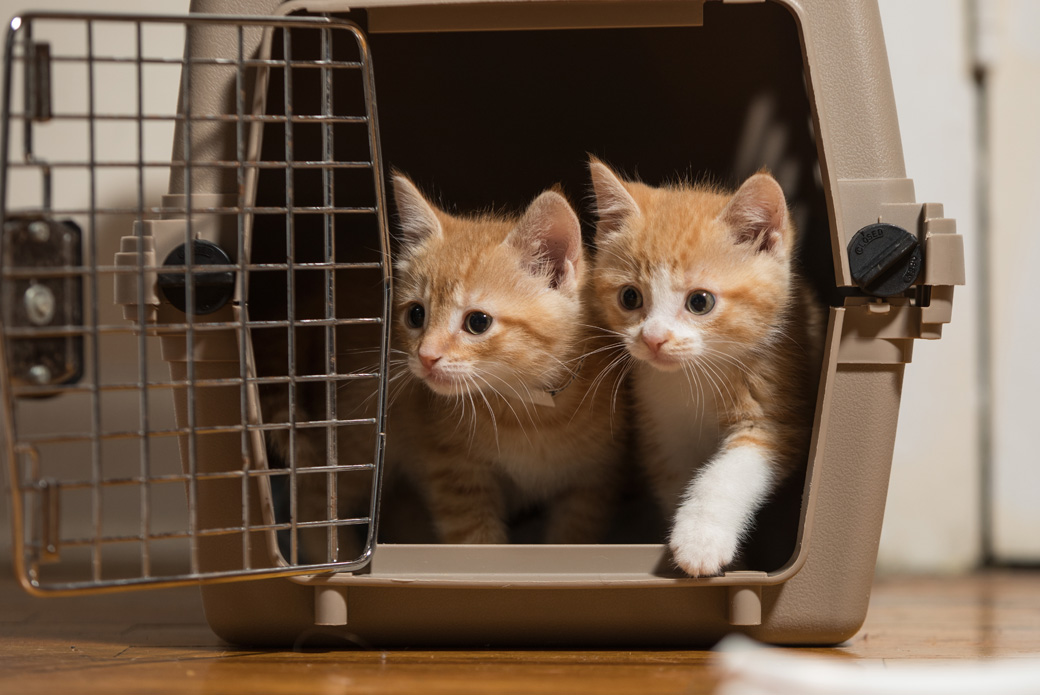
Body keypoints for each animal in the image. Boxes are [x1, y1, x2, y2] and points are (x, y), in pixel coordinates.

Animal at [386, 173, 619, 541]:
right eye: (416, 315)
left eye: (478, 322)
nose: (425, 356)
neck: (528, 411)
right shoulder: (453, 473)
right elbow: (477, 541)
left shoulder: (593, 482)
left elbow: (571, 537)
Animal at [586, 159, 819, 574]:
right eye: (630, 297)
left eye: (700, 302)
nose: (654, 338)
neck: (693, 378)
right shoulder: (662, 437)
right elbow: (676, 483)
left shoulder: (775, 415)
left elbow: (729, 474)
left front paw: (701, 540)